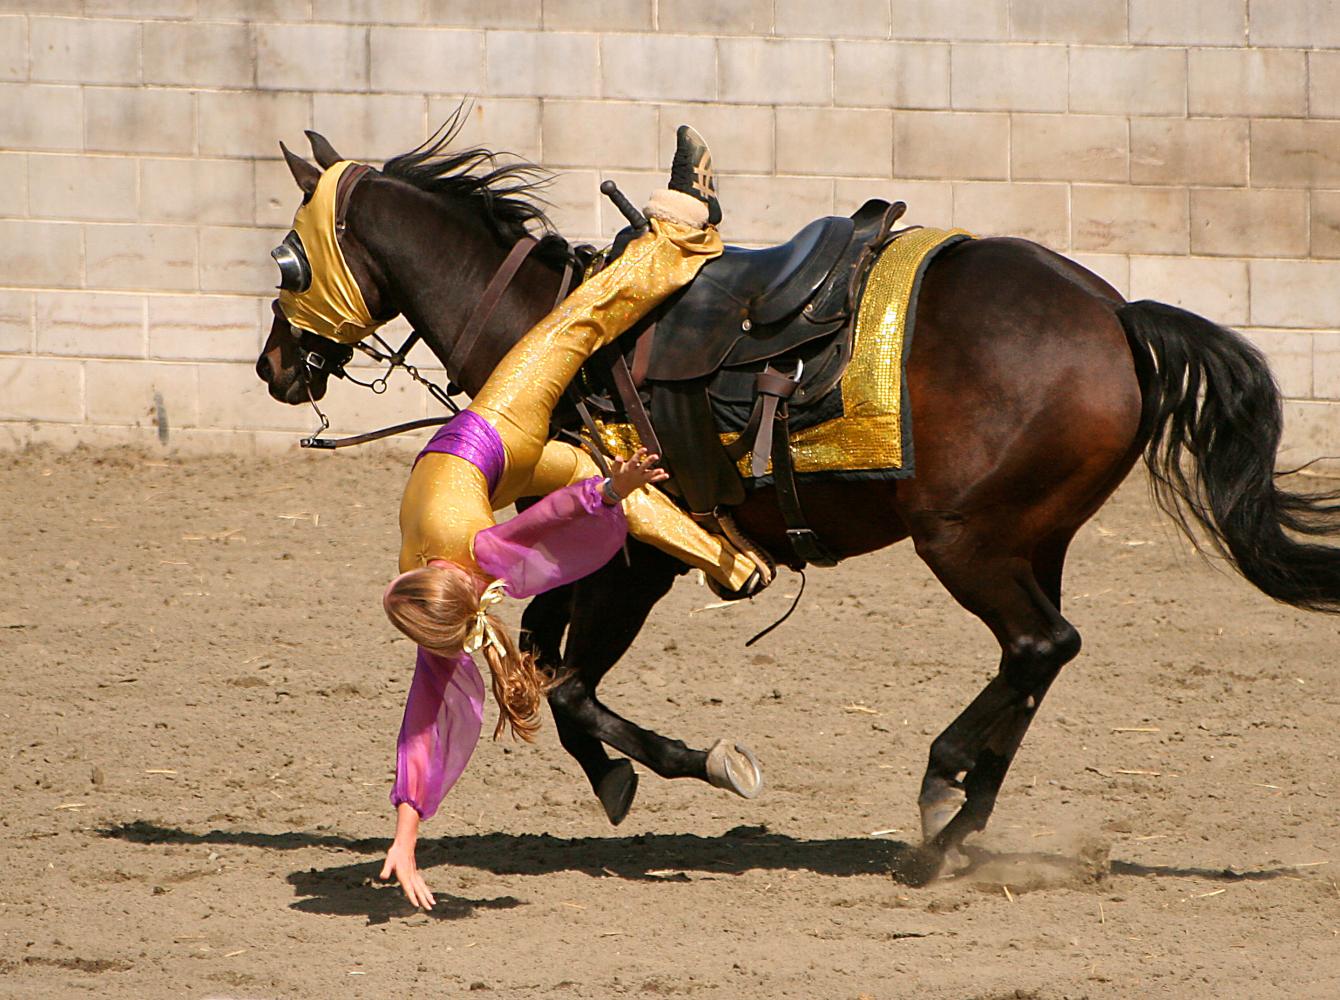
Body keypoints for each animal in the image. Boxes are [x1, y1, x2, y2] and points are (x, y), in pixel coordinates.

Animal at [258, 128, 1340, 873]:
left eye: (288, 257)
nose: (272, 365)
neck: (554, 337)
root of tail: (1115, 314)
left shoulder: (638, 561)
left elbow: (568, 683)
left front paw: (678, 764)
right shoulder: (603, 556)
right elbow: (547, 657)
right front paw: (628, 770)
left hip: (964, 540)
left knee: (1040, 645)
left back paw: (941, 796)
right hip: (1034, 541)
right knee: (1037, 656)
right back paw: (955, 817)